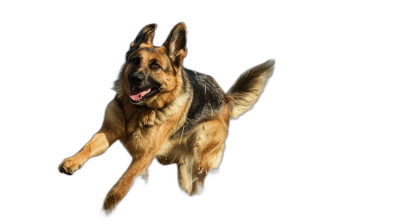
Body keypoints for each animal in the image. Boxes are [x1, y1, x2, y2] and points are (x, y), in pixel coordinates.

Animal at [57, 21, 276, 215]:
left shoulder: (144, 156)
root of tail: (225, 98)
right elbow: (88, 147)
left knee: (197, 182)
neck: (136, 111)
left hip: (201, 147)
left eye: (155, 66)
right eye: (135, 60)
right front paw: (72, 161)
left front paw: (106, 209)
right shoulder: (107, 133)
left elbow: (120, 186)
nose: (135, 78)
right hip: (182, 166)